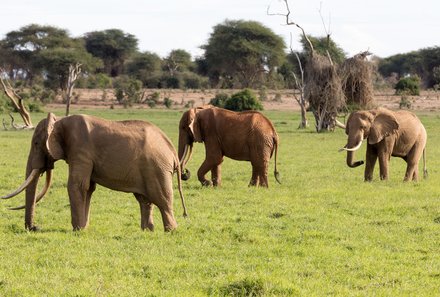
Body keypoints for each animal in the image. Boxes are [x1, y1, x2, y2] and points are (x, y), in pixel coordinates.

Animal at [0, 112, 186, 230]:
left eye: (37, 143)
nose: (35, 227)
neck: (59, 121)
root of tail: (172, 150)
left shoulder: (81, 150)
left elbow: (77, 185)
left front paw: (77, 230)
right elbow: (88, 188)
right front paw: (84, 228)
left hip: (157, 168)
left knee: (162, 199)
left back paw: (171, 230)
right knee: (144, 200)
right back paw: (147, 230)